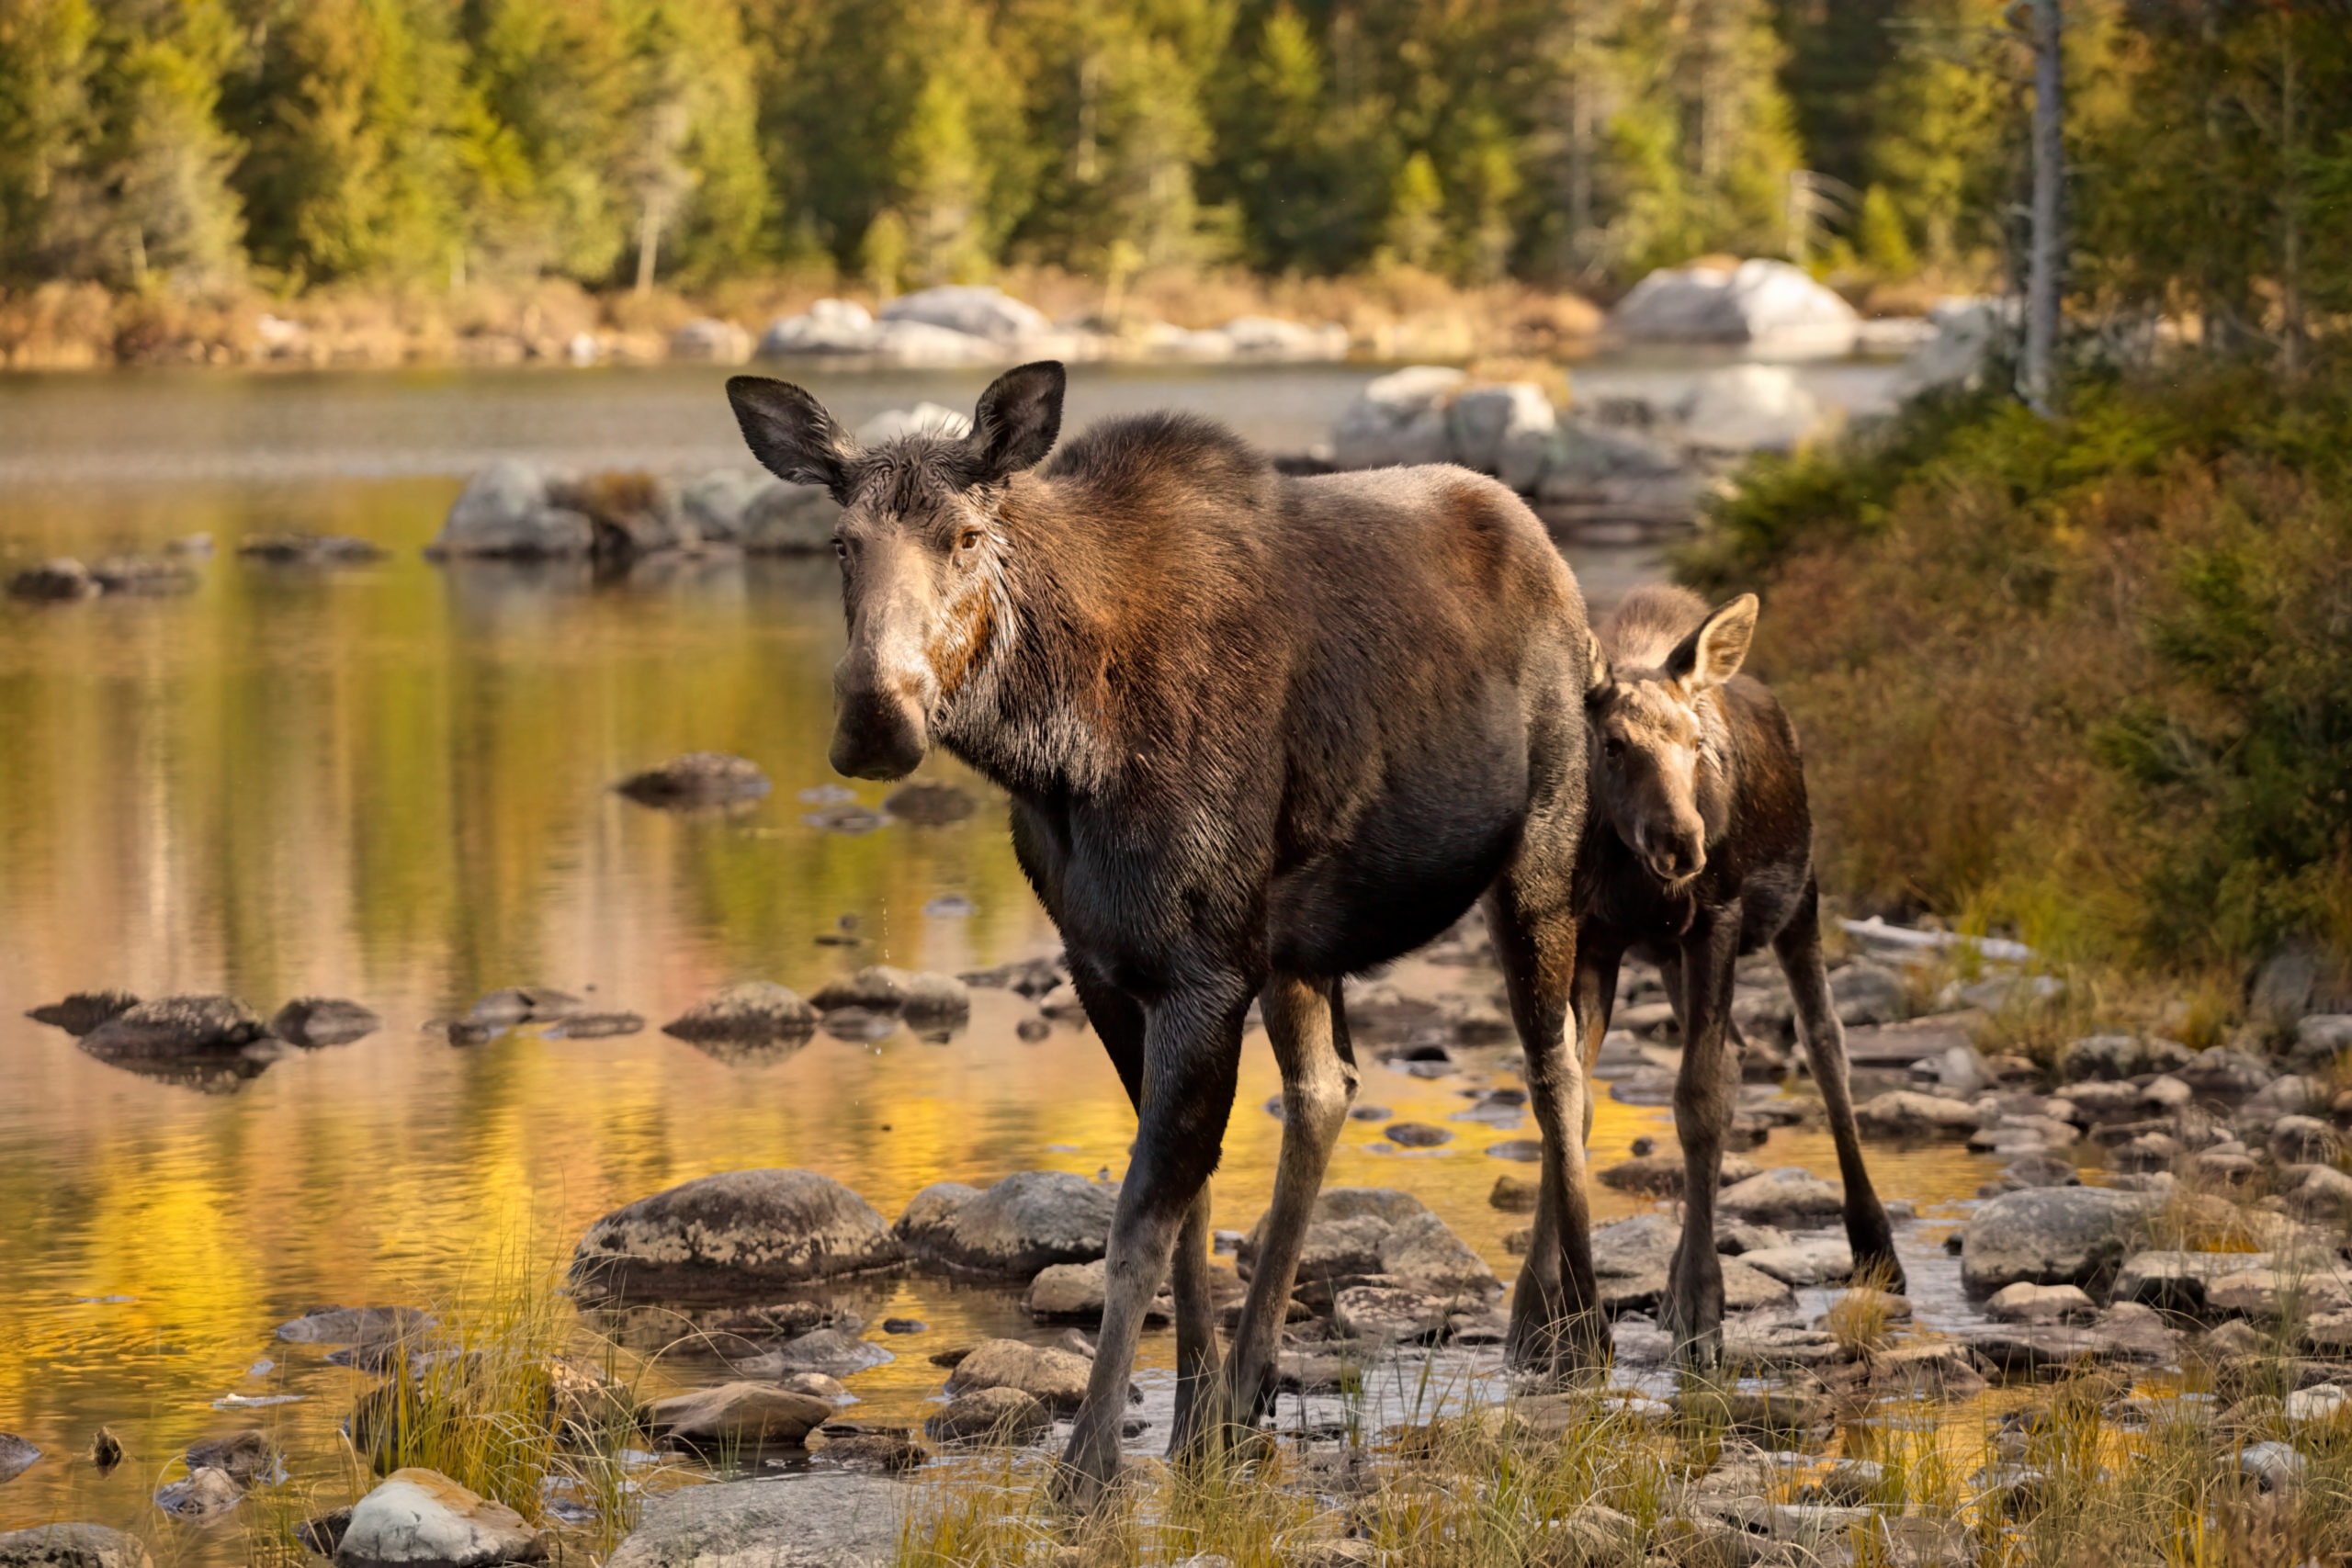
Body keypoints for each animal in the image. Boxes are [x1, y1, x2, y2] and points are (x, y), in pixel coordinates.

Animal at [726, 362, 1608, 1501]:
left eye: (963, 536)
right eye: (842, 542)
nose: (876, 715)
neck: (1056, 753)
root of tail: (1554, 560)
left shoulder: (1199, 972)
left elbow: (1141, 1220)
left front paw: (1090, 1465)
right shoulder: (1111, 969)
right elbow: (1191, 1209)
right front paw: (1194, 1419)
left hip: (1538, 859)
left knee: (1557, 1074)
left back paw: (1573, 1331)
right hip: (1299, 948)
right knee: (1328, 1092)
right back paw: (1261, 1375)